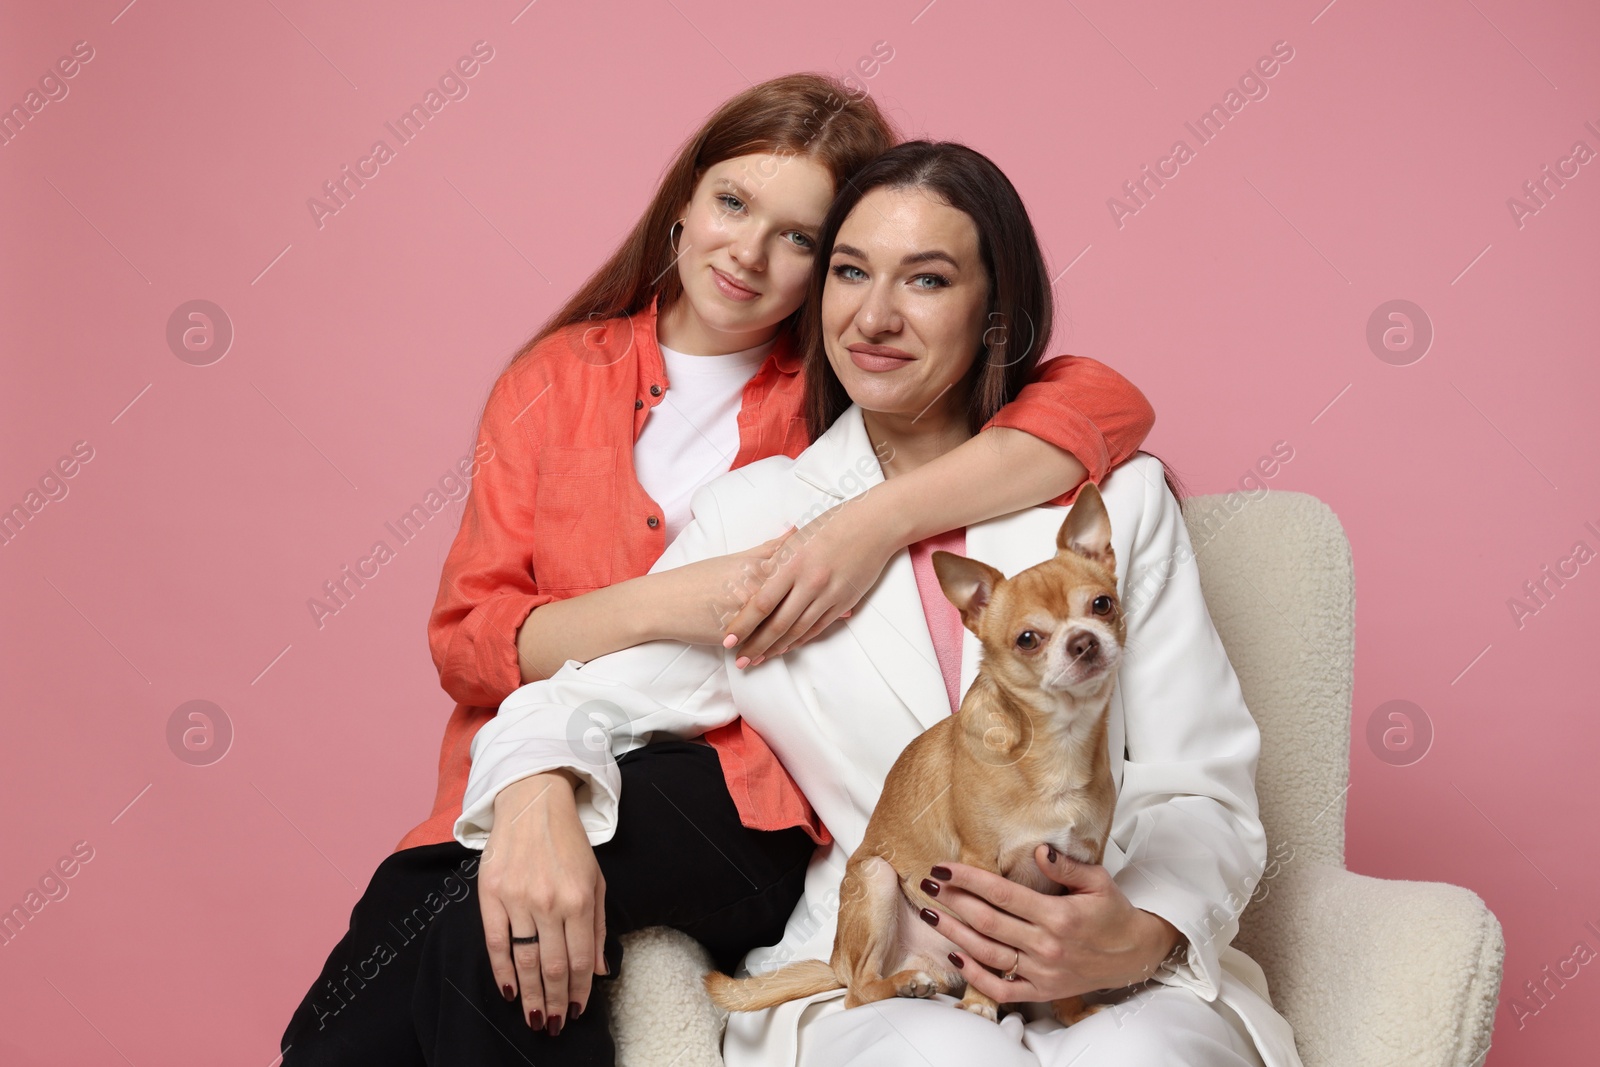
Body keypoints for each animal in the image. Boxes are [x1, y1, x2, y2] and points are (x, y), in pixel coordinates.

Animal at [700, 483, 1126, 1023]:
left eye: (1102, 605)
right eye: (1027, 639)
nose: (1084, 641)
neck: (1057, 743)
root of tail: (835, 961)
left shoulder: (1077, 872)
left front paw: (1073, 1012)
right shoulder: (982, 868)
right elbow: (991, 946)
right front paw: (982, 1006)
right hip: (877, 879)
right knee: (858, 992)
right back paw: (903, 985)